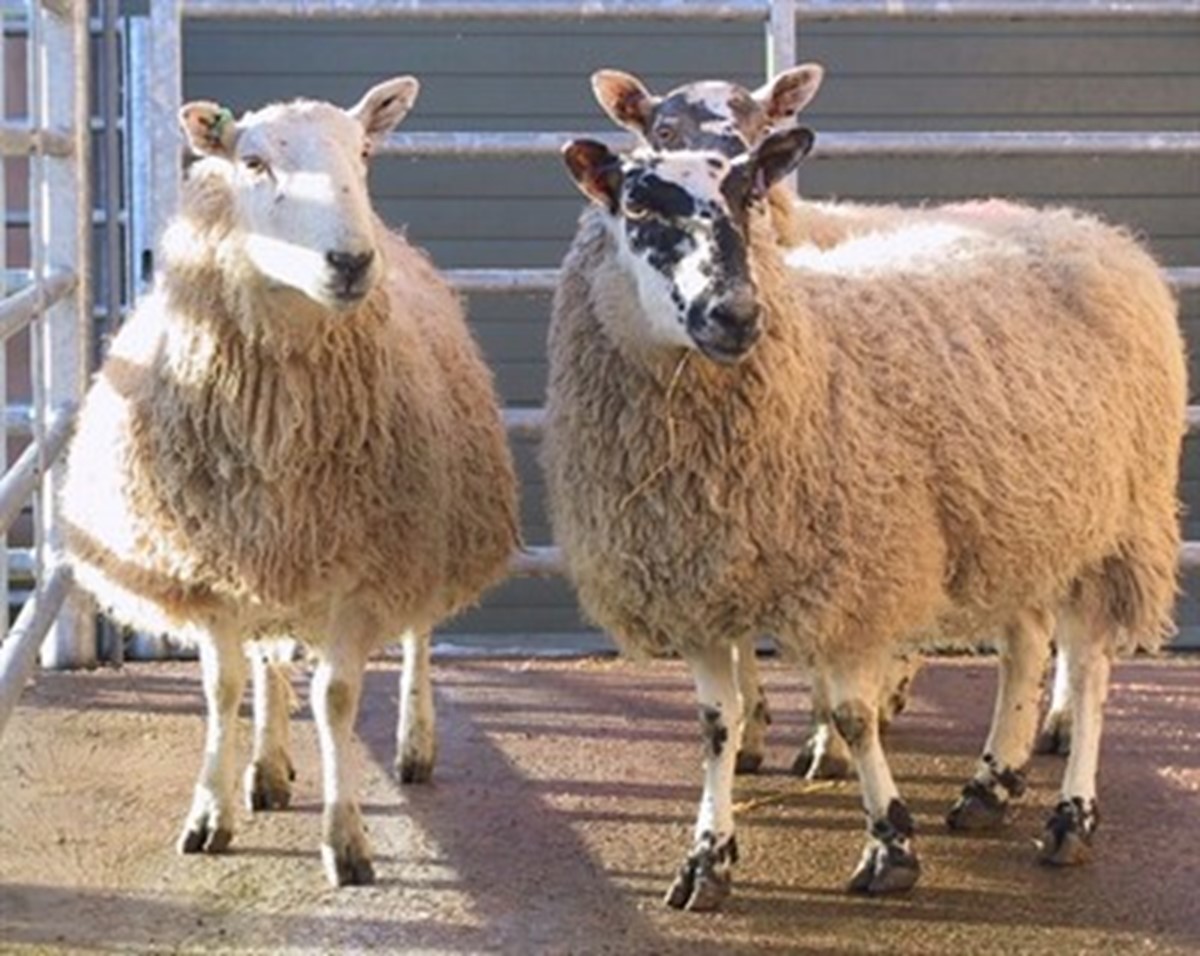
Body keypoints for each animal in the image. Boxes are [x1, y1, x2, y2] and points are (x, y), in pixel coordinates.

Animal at [60, 78, 519, 886]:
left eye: (363, 152)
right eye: (251, 162)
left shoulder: (368, 570)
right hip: (276, 554)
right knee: (268, 658)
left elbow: (336, 698)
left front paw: (346, 839)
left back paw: (414, 743)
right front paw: (210, 812)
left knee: (418, 635)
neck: (280, 425)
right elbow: (224, 688)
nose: (351, 262)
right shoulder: (212, 564)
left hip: (426, 532)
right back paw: (269, 769)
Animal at [545, 129, 1185, 908]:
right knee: (1026, 645)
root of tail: (1088, 229)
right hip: (1015, 516)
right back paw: (990, 784)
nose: (735, 315)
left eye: (751, 195)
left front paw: (891, 845)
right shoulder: (694, 588)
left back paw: (1069, 818)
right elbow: (717, 724)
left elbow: (854, 716)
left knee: (1088, 666)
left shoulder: (856, 572)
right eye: (636, 202)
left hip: (1114, 523)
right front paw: (706, 859)